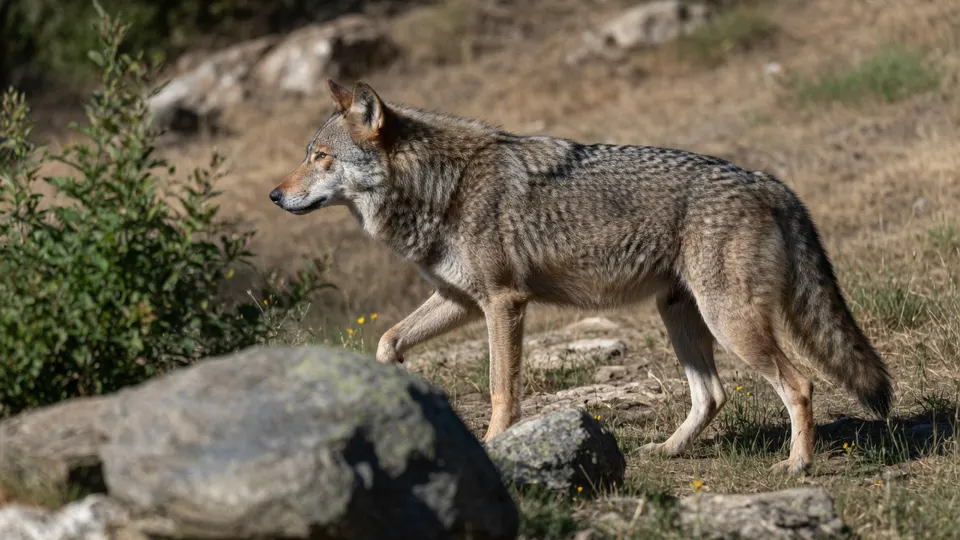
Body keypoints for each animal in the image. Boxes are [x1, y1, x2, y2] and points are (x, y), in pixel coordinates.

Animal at [269, 79, 893, 475]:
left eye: (321, 158)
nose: (275, 195)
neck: (441, 186)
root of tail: (770, 183)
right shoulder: (459, 299)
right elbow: (386, 340)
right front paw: (397, 389)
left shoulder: (503, 302)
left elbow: (501, 390)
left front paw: (495, 446)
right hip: (681, 316)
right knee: (712, 395)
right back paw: (667, 451)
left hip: (730, 322)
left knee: (801, 385)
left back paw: (798, 464)